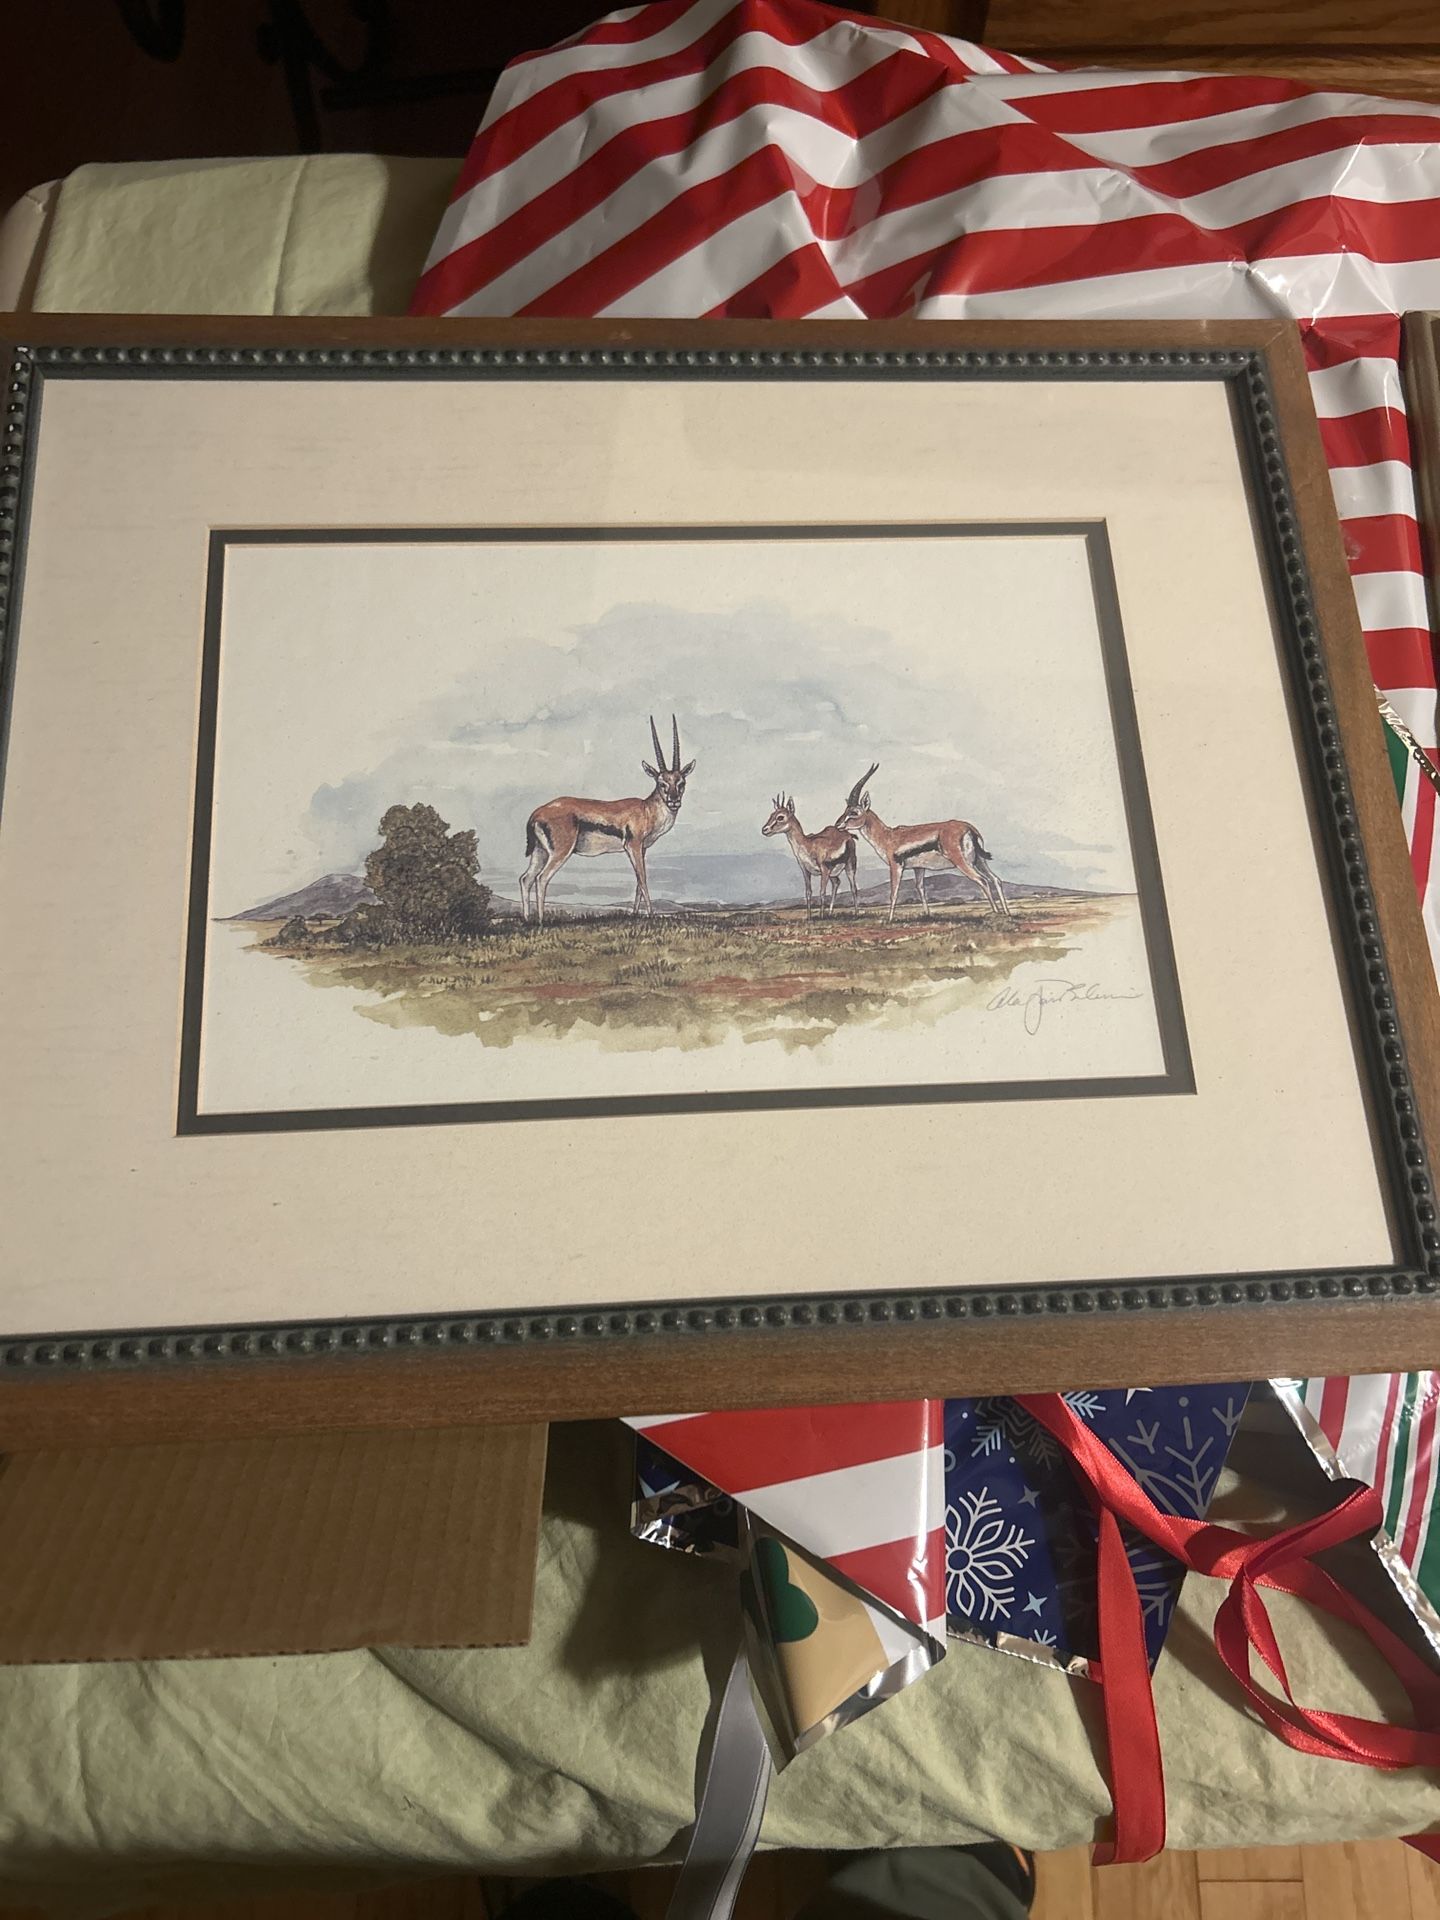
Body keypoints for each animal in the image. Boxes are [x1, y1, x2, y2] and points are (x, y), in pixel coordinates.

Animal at [519, 716, 695, 926]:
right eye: (662, 783)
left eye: (681, 782)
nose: (674, 801)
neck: (647, 810)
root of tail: (536, 814)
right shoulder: (633, 846)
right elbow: (643, 879)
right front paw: (651, 916)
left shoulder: (642, 849)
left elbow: (638, 882)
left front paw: (634, 915)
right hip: (560, 853)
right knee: (542, 878)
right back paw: (541, 921)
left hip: (540, 852)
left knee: (525, 879)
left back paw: (526, 919)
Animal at [835, 762, 1010, 923]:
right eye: (845, 810)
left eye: (854, 812)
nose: (838, 825)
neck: (888, 836)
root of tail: (969, 828)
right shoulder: (919, 868)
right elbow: (920, 889)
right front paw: (927, 915)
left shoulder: (896, 866)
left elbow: (894, 892)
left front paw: (889, 919)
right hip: (979, 861)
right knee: (996, 879)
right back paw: (1006, 912)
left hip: (962, 862)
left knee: (982, 881)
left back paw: (995, 912)